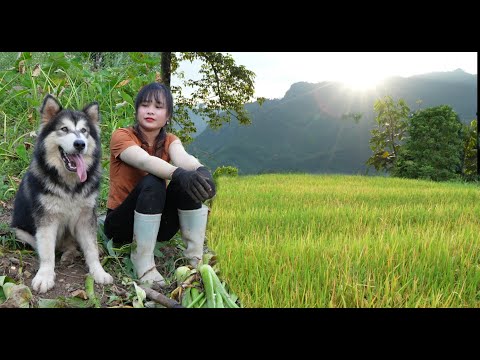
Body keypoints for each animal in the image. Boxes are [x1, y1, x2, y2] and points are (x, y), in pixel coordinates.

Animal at [11, 94, 113, 294]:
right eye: (64, 129)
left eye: (84, 131)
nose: (80, 144)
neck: (70, 184)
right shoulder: (46, 219)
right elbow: (47, 251)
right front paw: (45, 276)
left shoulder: (86, 217)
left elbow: (91, 248)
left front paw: (98, 271)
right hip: (19, 232)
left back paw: (71, 253)